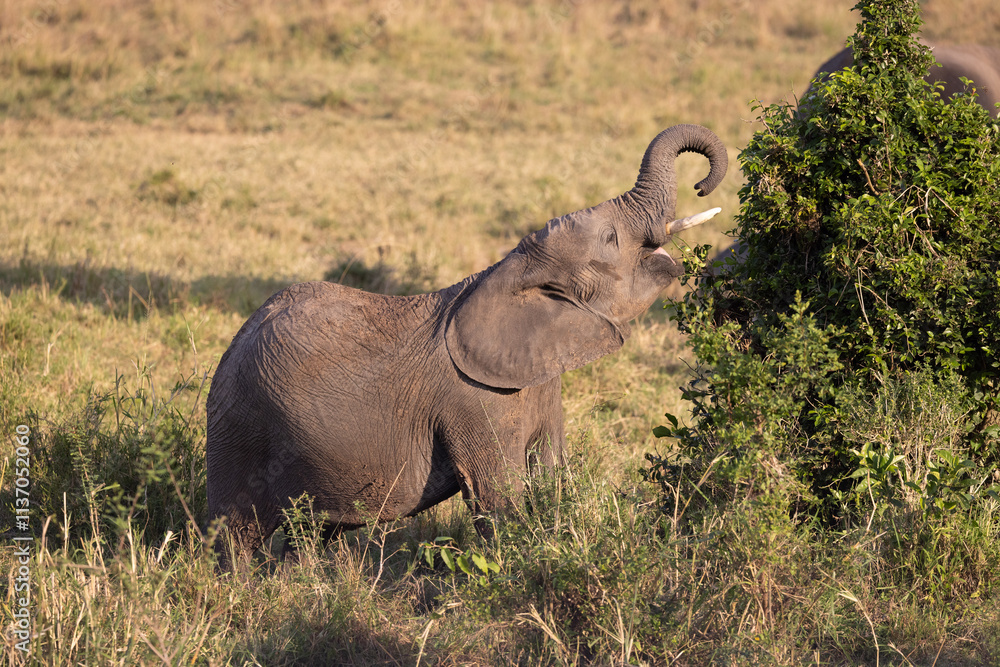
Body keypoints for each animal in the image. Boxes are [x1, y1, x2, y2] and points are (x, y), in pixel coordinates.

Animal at [205, 124, 728, 570]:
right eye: (611, 238)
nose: (702, 186)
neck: (509, 271)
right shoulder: (474, 401)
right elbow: (499, 498)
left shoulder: (537, 380)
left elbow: (551, 473)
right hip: (241, 428)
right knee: (236, 533)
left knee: (311, 532)